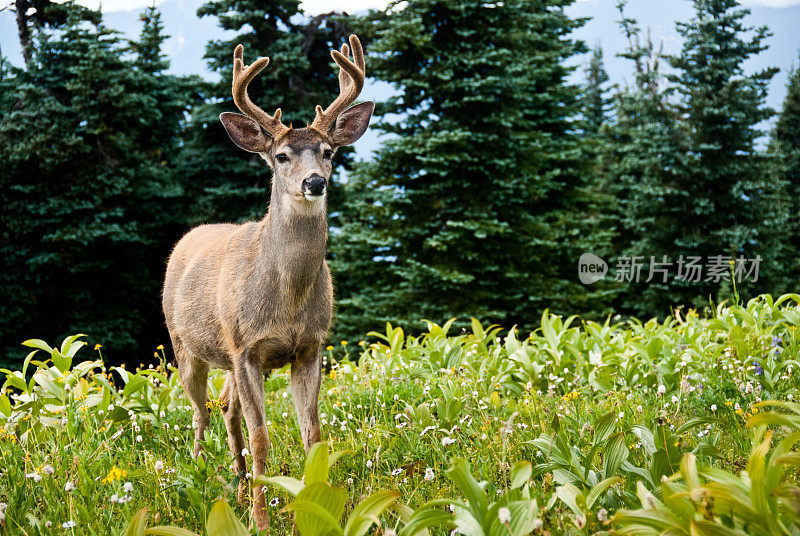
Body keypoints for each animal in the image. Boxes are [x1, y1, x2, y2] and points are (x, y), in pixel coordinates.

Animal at [163, 34, 376, 532]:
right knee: (200, 413)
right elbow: (261, 437)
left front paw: (324, 506)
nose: (314, 182)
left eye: (328, 152)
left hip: (226, 358)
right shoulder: (246, 348)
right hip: (187, 347)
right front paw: (261, 520)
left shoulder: (310, 347)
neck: (288, 299)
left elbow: (313, 433)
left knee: (227, 408)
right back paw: (203, 479)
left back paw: (239, 486)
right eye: (281, 156)